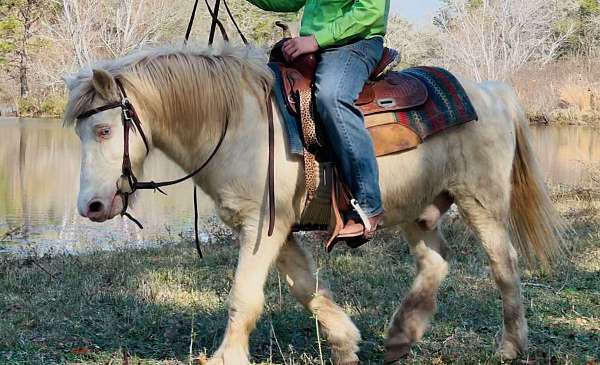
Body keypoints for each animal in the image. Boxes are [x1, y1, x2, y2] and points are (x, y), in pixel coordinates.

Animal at [65, 45, 568, 364]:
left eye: (104, 130)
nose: (91, 206)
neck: (236, 121)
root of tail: (489, 91)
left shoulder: (262, 224)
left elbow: (244, 295)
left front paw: (227, 357)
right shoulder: (275, 228)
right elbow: (304, 286)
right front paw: (345, 343)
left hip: (480, 200)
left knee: (504, 264)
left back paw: (510, 345)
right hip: (417, 208)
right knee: (436, 261)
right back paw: (400, 336)